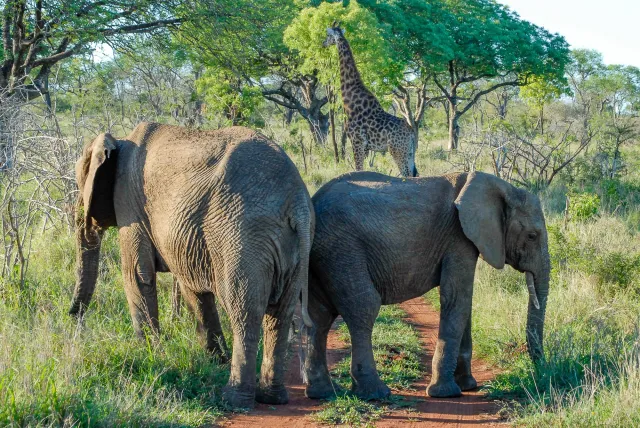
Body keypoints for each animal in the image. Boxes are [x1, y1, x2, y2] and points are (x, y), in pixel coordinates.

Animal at [70, 121, 316, 408]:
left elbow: (137, 276)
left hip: (242, 237)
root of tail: (297, 202)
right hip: (293, 249)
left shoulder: (129, 202)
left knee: (245, 311)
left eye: (80, 183)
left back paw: (233, 399)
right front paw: (214, 361)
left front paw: (150, 355)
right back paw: (272, 397)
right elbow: (193, 288)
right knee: (280, 314)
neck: (120, 140)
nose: (73, 319)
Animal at [302, 171, 548, 402]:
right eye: (532, 236)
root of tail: (314, 200)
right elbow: (456, 298)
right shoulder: (458, 238)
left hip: (324, 256)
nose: (540, 370)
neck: (503, 188)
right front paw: (446, 393)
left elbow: (464, 302)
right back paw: (376, 394)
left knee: (320, 317)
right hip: (342, 250)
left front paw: (468, 386)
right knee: (364, 308)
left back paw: (323, 392)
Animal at [322, 23, 418, 177]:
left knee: (407, 175)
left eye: (328, 35)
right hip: (409, 153)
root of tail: (411, 133)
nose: (323, 43)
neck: (349, 94)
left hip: (398, 151)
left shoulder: (357, 141)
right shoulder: (365, 146)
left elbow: (358, 168)